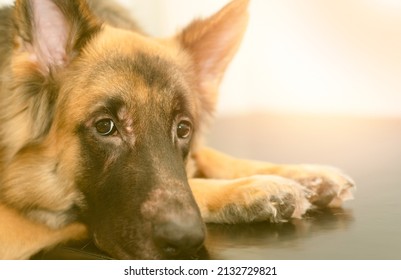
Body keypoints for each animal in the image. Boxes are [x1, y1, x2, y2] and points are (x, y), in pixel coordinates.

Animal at [0, 0, 354, 260]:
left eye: (183, 129)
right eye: (105, 126)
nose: (185, 241)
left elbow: (207, 155)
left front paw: (304, 175)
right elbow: (193, 182)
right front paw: (252, 188)